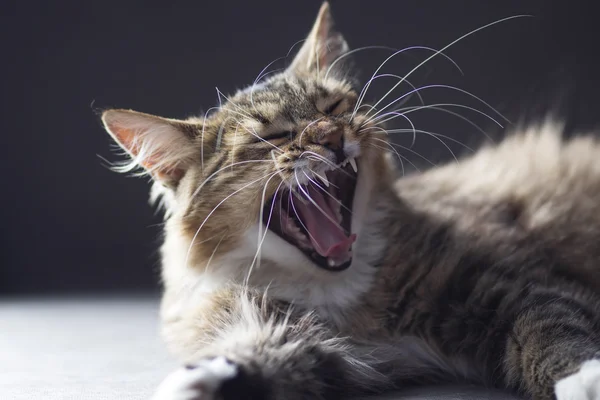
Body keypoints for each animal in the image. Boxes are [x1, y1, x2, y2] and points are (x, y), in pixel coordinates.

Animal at [101, 3, 596, 400]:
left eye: (333, 108)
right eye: (272, 137)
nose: (330, 136)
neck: (344, 296)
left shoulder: (517, 283)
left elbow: (554, 335)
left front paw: (583, 380)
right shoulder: (322, 347)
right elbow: (255, 359)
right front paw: (199, 380)